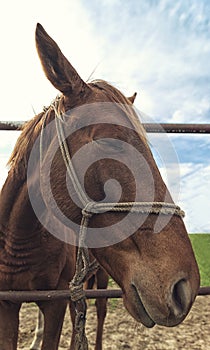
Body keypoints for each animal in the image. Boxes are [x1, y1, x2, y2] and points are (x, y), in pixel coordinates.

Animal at [0, 22, 200, 350]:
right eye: (110, 142)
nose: (184, 286)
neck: (21, 237)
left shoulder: (55, 303)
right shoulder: (8, 304)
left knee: (101, 312)